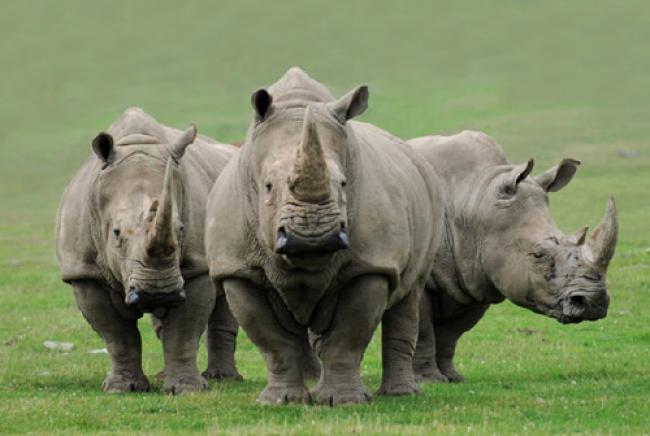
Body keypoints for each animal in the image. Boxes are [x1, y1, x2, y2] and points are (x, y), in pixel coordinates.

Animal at [56, 108, 241, 394]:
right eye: (116, 233)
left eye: (181, 229)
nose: (159, 291)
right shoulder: (84, 271)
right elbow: (117, 334)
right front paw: (122, 388)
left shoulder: (196, 266)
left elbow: (184, 331)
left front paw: (187, 389)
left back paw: (222, 379)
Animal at [205, 67, 442, 405]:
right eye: (267, 186)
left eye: (343, 183)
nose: (312, 237)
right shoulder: (238, 269)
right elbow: (271, 340)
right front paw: (280, 401)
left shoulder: (369, 264)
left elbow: (348, 335)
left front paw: (343, 401)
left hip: (432, 195)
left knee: (410, 292)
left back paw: (400, 394)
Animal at [408, 130, 618, 383]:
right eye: (538, 255)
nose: (594, 304)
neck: (473, 198)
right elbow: (423, 331)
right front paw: (430, 380)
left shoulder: (474, 277)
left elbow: (451, 334)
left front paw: (454, 379)